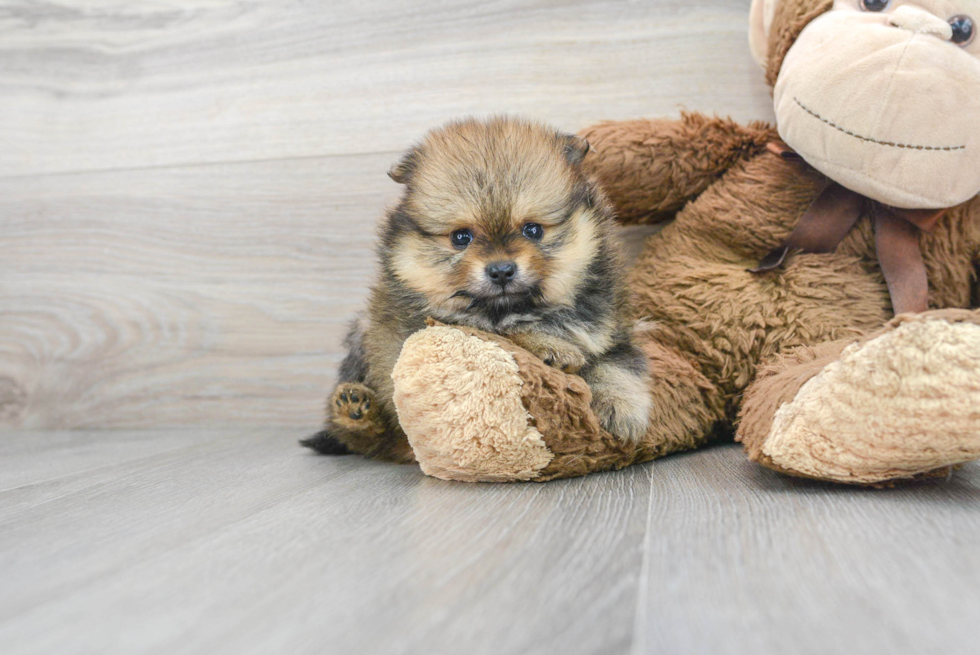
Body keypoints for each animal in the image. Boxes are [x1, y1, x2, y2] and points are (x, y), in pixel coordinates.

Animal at [304, 118, 652, 464]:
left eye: (533, 230)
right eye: (461, 237)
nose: (501, 270)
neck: (517, 308)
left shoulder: (610, 331)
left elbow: (616, 365)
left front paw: (621, 410)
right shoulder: (437, 324)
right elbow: (503, 331)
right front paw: (551, 347)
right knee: (368, 437)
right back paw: (355, 410)